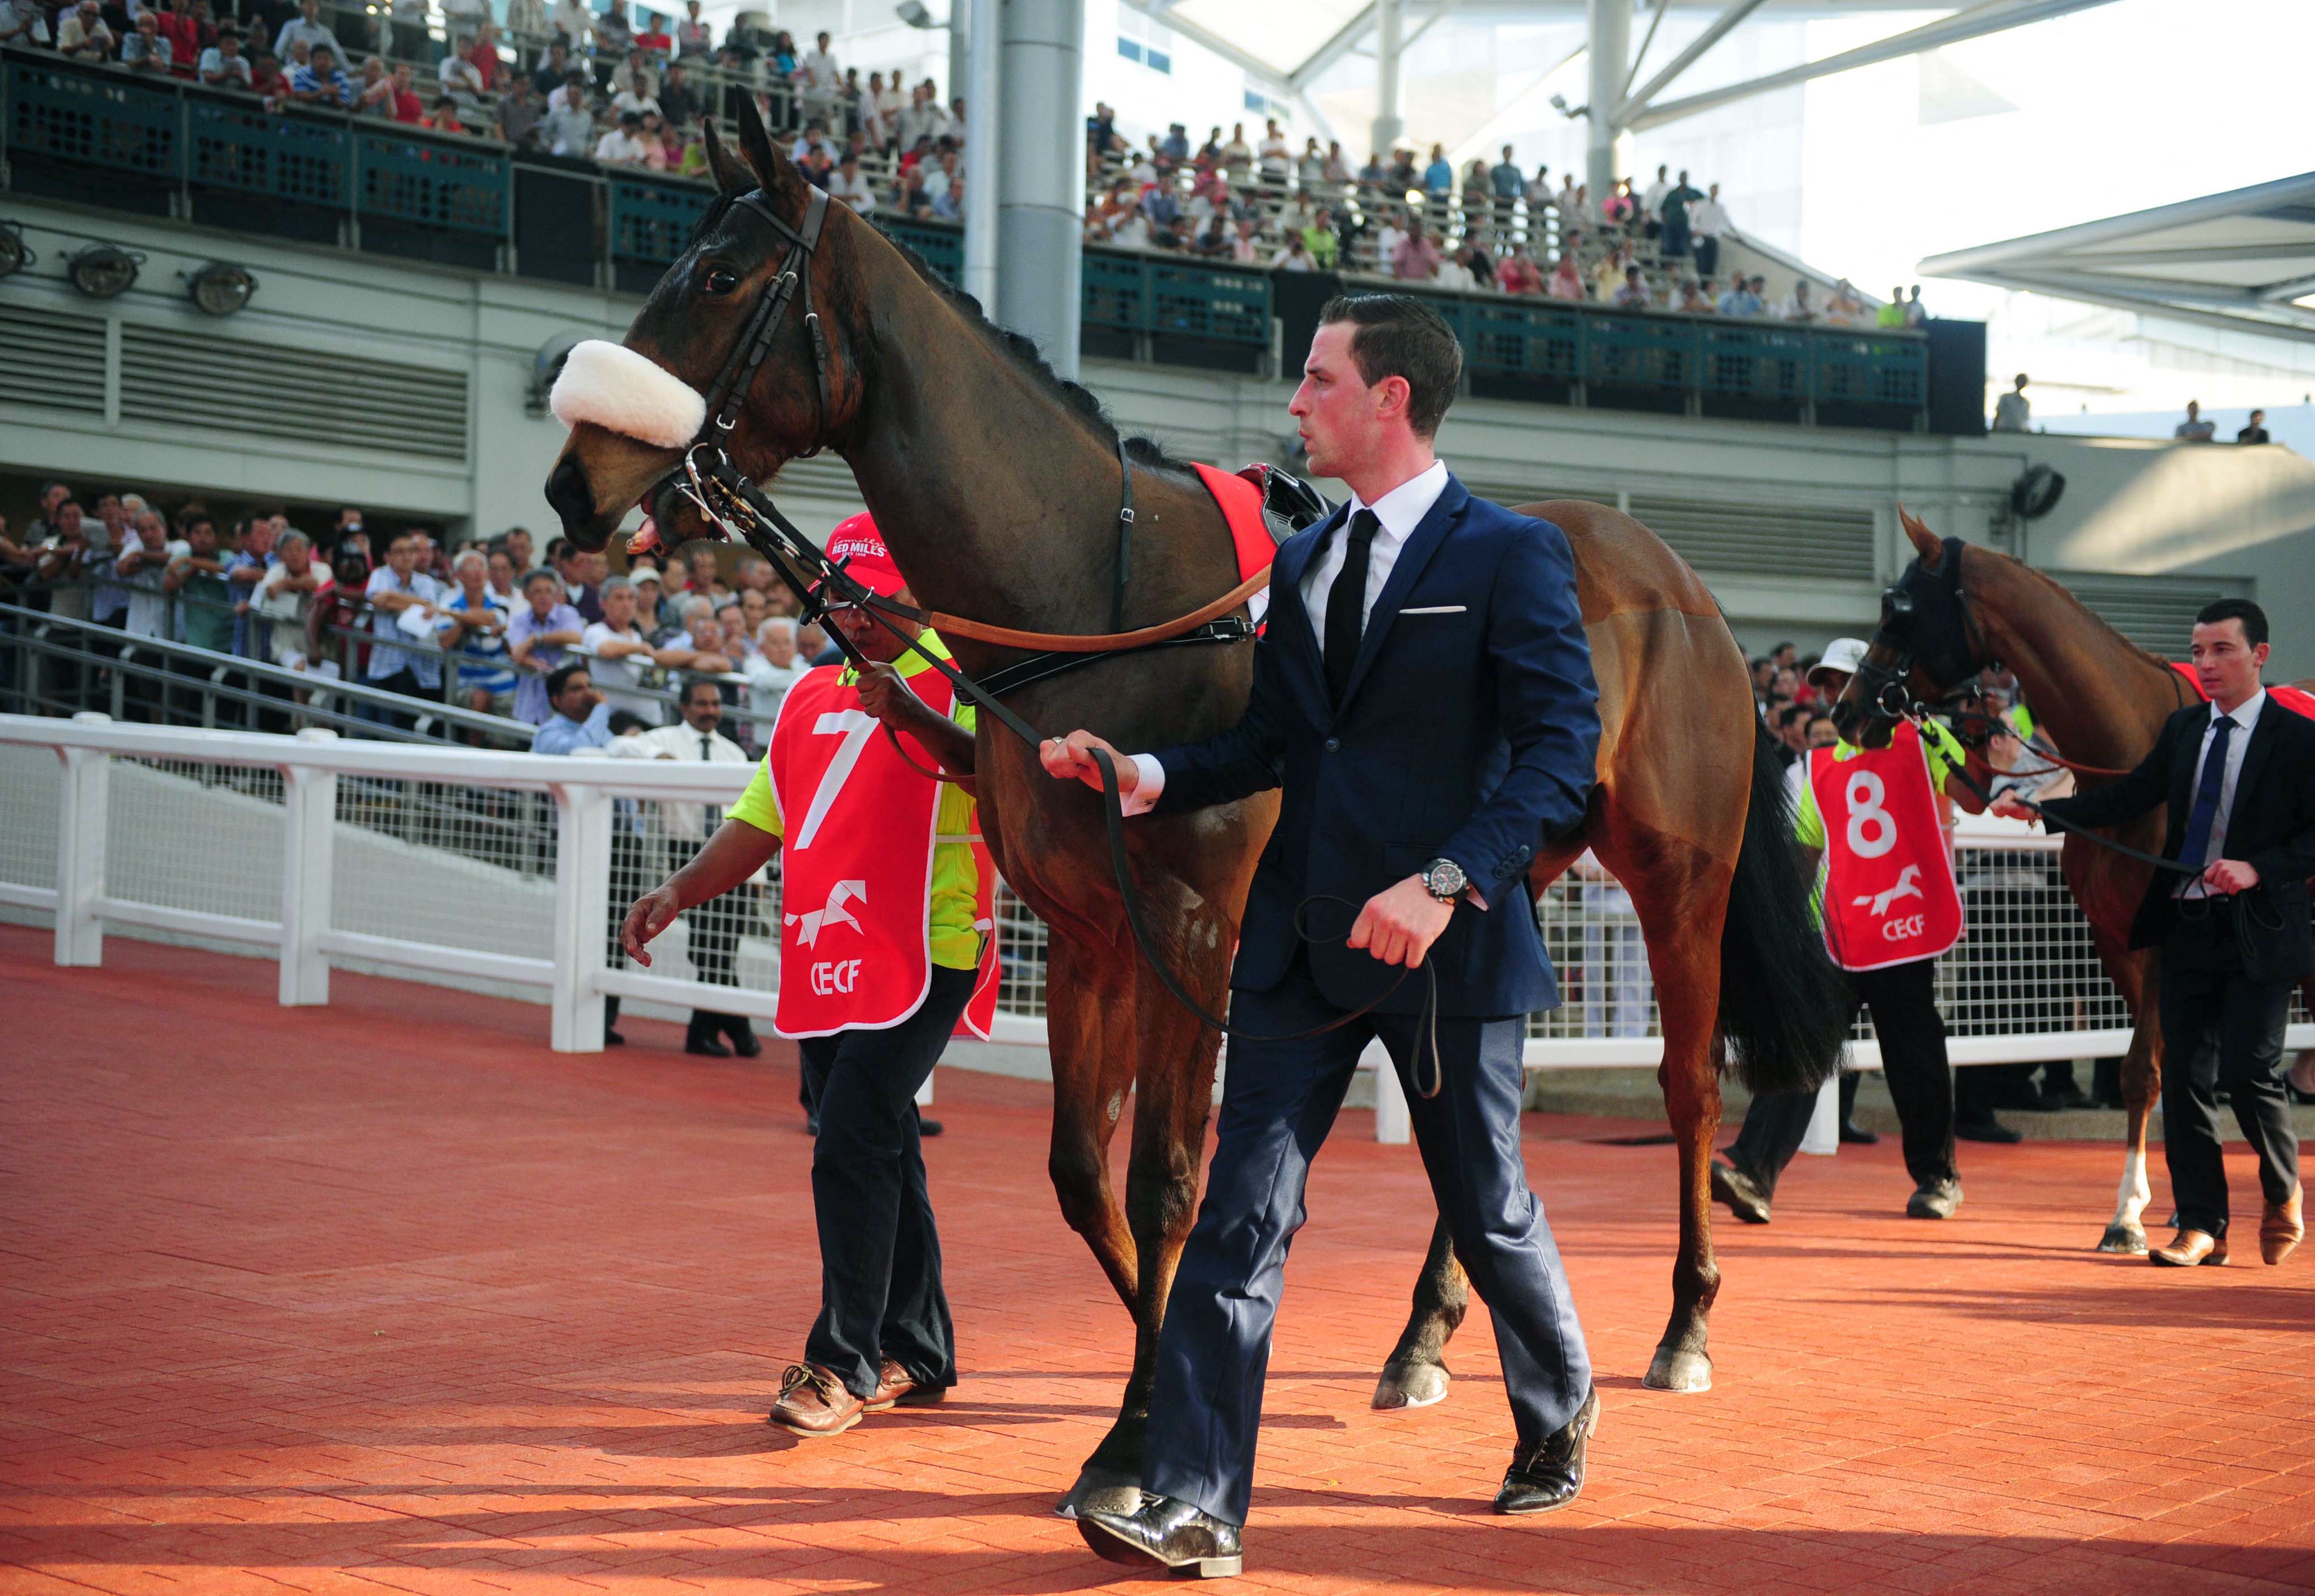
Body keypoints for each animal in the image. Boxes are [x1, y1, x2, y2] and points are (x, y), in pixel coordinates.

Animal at [542, 102, 1843, 1517]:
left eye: (719, 277)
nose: (570, 483)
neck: (1092, 594)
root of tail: (1689, 592)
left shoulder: (1192, 925)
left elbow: (1165, 1176)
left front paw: (1135, 1433)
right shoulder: (1089, 929)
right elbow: (1079, 1170)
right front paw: (1155, 1378)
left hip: (1677, 873)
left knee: (1684, 1083)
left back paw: (1681, 1323)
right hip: (1490, 876)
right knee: (1465, 1109)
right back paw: (1424, 1337)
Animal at [1833, 516, 2305, 1249]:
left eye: (1899, 609)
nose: (1848, 710)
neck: (2131, 746)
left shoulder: (2164, 943)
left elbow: (2148, 1068)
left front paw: (2132, 1214)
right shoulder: (2118, 941)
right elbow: (2156, 1071)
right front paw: (2152, 1209)